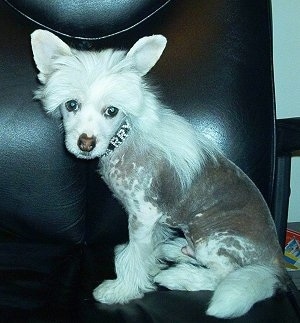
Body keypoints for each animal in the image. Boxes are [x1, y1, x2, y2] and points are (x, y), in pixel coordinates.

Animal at [31, 30, 288, 318]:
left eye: (112, 111)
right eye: (71, 105)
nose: (86, 143)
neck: (123, 138)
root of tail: (276, 264)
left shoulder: (143, 215)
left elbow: (134, 257)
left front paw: (121, 290)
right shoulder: (151, 218)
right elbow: (145, 249)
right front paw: (148, 261)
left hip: (211, 237)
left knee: (222, 275)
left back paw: (178, 277)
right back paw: (176, 249)